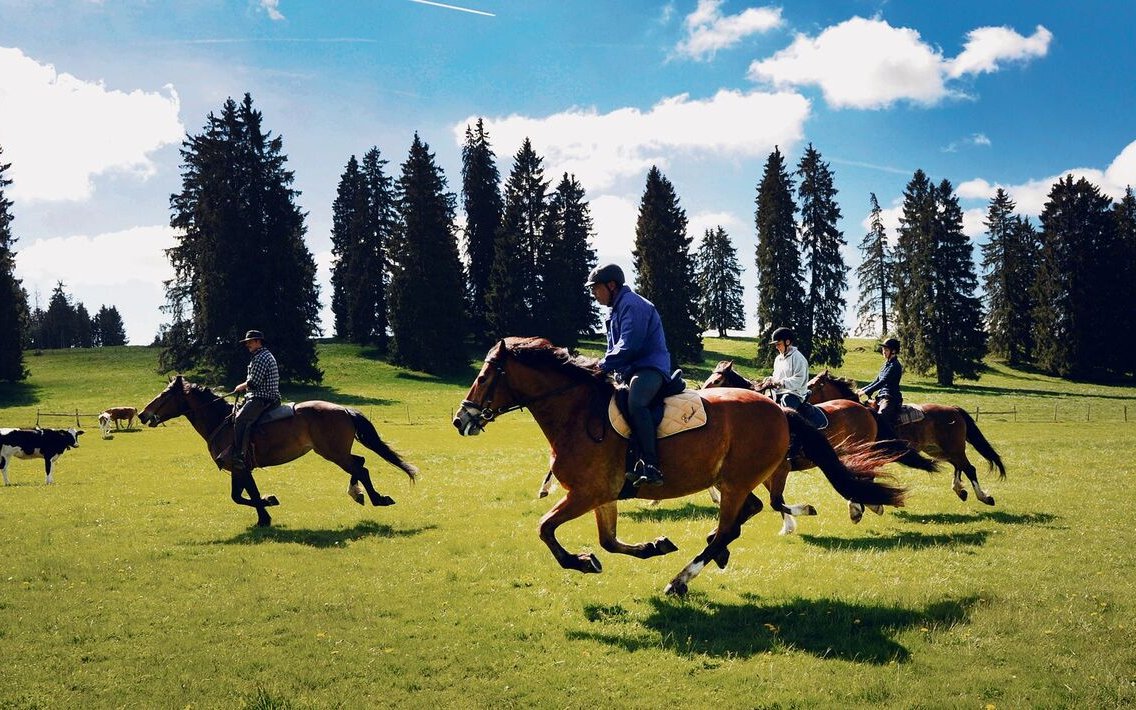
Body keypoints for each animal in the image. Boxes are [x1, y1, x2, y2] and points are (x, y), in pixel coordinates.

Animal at [138, 377, 418, 527]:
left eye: (164, 395)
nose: (142, 414)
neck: (222, 421)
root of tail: (343, 409)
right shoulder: (237, 469)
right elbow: (239, 496)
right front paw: (267, 509)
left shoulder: (240, 465)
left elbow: (247, 494)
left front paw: (266, 509)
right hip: (336, 453)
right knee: (360, 463)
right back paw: (361, 494)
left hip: (334, 453)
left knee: (361, 467)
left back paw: (374, 498)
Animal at [452, 338, 904, 599]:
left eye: (484, 376)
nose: (461, 420)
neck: (578, 414)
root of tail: (778, 410)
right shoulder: (602, 495)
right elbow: (608, 542)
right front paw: (652, 545)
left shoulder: (585, 493)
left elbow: (545, 528)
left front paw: (580, 562)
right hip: (739, 478)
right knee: (749, 512)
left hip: (741, 478)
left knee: (735, 523)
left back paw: (682, 578)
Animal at [699, 363, 940, 529]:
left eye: (718, 381)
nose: (702, 395)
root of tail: (866, 409)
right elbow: (776, 500)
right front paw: (788, 526)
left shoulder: (781, 469)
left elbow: (776, 501)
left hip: (860, 450)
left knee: (867, 474)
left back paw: (862, 506)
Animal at [804, 370, 1008, 504]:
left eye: (811, 386)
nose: (803, 402)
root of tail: (953, 409)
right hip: (940, 450)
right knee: (959, 466)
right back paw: (960, 490)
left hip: (953, 448)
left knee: (969, 468)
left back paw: (984, 497)